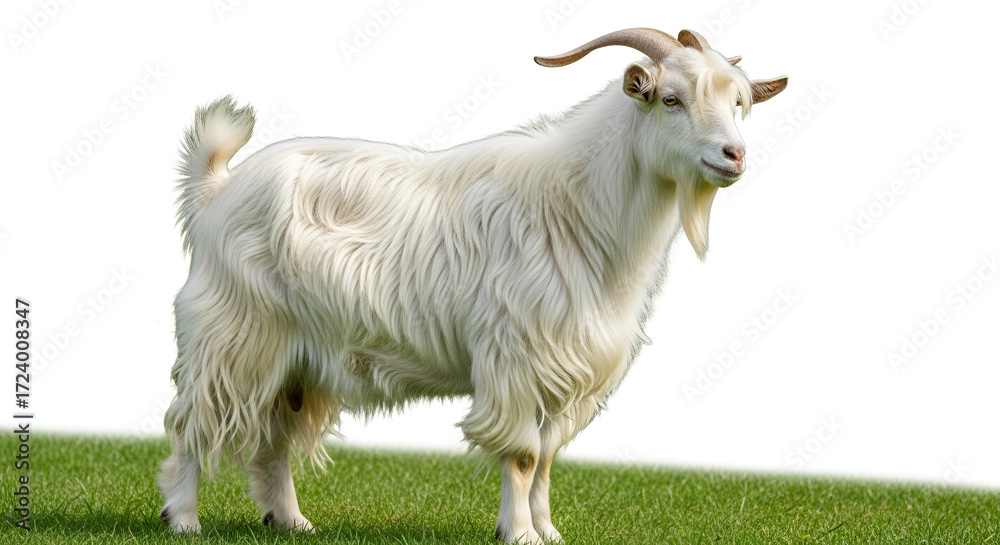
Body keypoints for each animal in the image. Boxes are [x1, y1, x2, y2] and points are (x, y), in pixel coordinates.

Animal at [159, 27, 787, 543]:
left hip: (295, 357)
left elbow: (549, 458)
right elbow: (524, 456)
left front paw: (547, 530)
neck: (579, 208)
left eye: (738, 104)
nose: (734, 155)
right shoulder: (515, 359)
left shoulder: (564, 365)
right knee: (191, 422)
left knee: (275, 437)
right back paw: (184, 519)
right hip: (231, 335)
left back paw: (289, 520)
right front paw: (519, 533)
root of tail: (217, 191)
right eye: (671, 98)